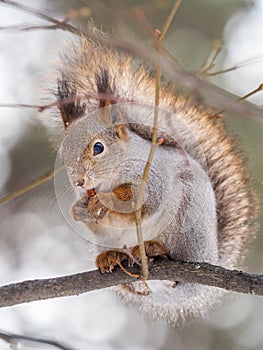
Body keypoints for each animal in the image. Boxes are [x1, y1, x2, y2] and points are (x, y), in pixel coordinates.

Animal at [45, 27, 258, 326]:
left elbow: (143, 203)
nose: (80, 182)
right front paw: (79, 209)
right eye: (63, 158)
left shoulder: (154, 175)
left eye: (98, 147)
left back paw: (154, 248)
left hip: (186, 227)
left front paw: (105, 201)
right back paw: (111, 257)